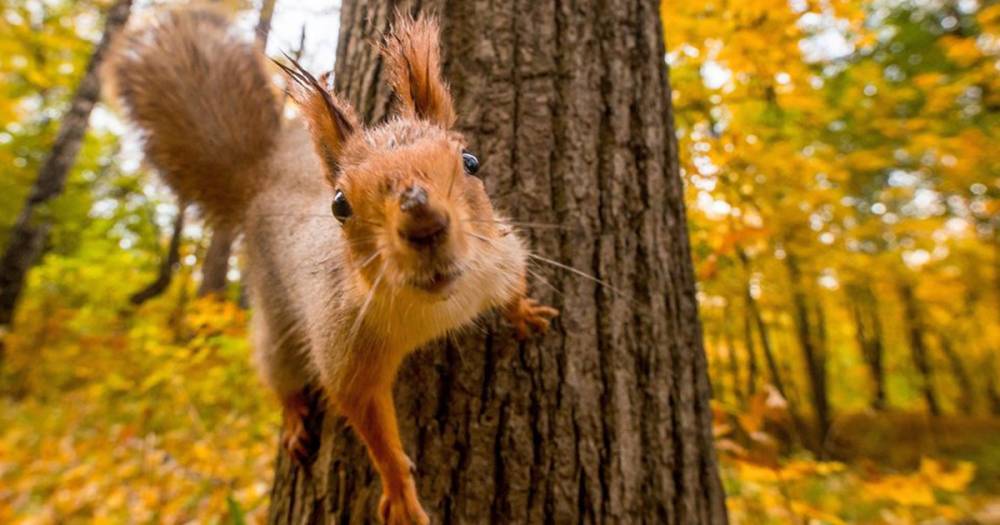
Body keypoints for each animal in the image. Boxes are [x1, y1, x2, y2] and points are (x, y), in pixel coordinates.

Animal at [112, 5, 560, 524]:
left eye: (471, 161)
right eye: (340, 205)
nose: (423, 223)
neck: (437, 306)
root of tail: (258, 184)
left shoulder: (498, 256)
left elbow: (515, 281)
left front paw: (525, 312)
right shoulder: (343, 341)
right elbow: (367, 418)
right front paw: (401, 494)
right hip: (276, 317)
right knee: (279, 368)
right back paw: (293, 416)